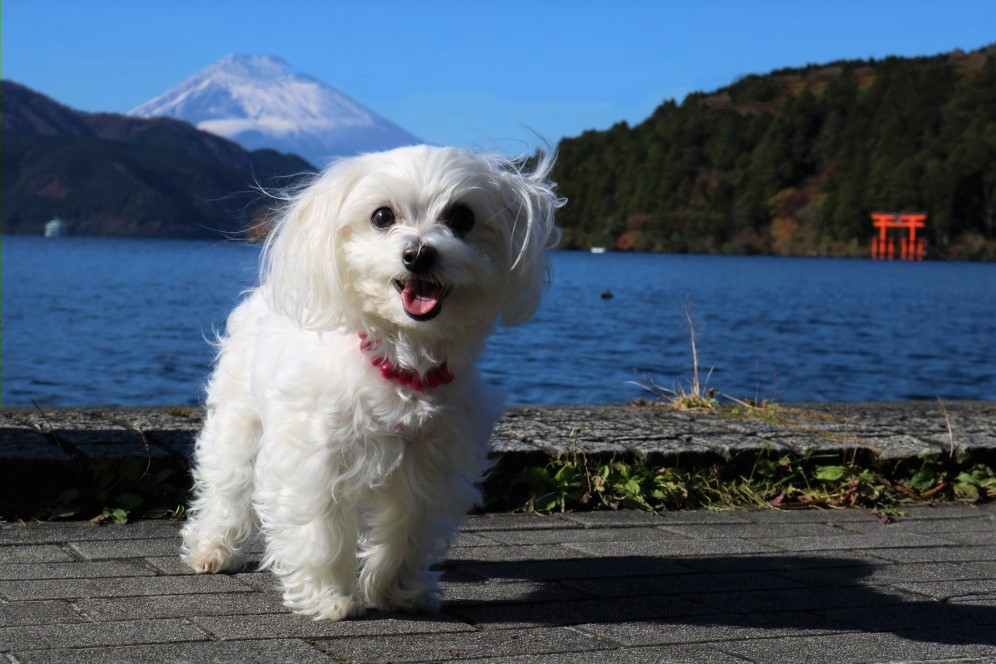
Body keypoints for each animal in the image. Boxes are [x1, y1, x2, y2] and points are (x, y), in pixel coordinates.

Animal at [179, 144, 560, 616]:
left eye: (461, 217)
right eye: (382, 216)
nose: (418, 253)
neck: (400, 357)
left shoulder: (429, 462)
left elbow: (407, 531)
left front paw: (398, 591)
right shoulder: (317, 458)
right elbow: (320, 530)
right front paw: (328, 598)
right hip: (238, 419)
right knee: (227, 486)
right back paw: (213, 549)